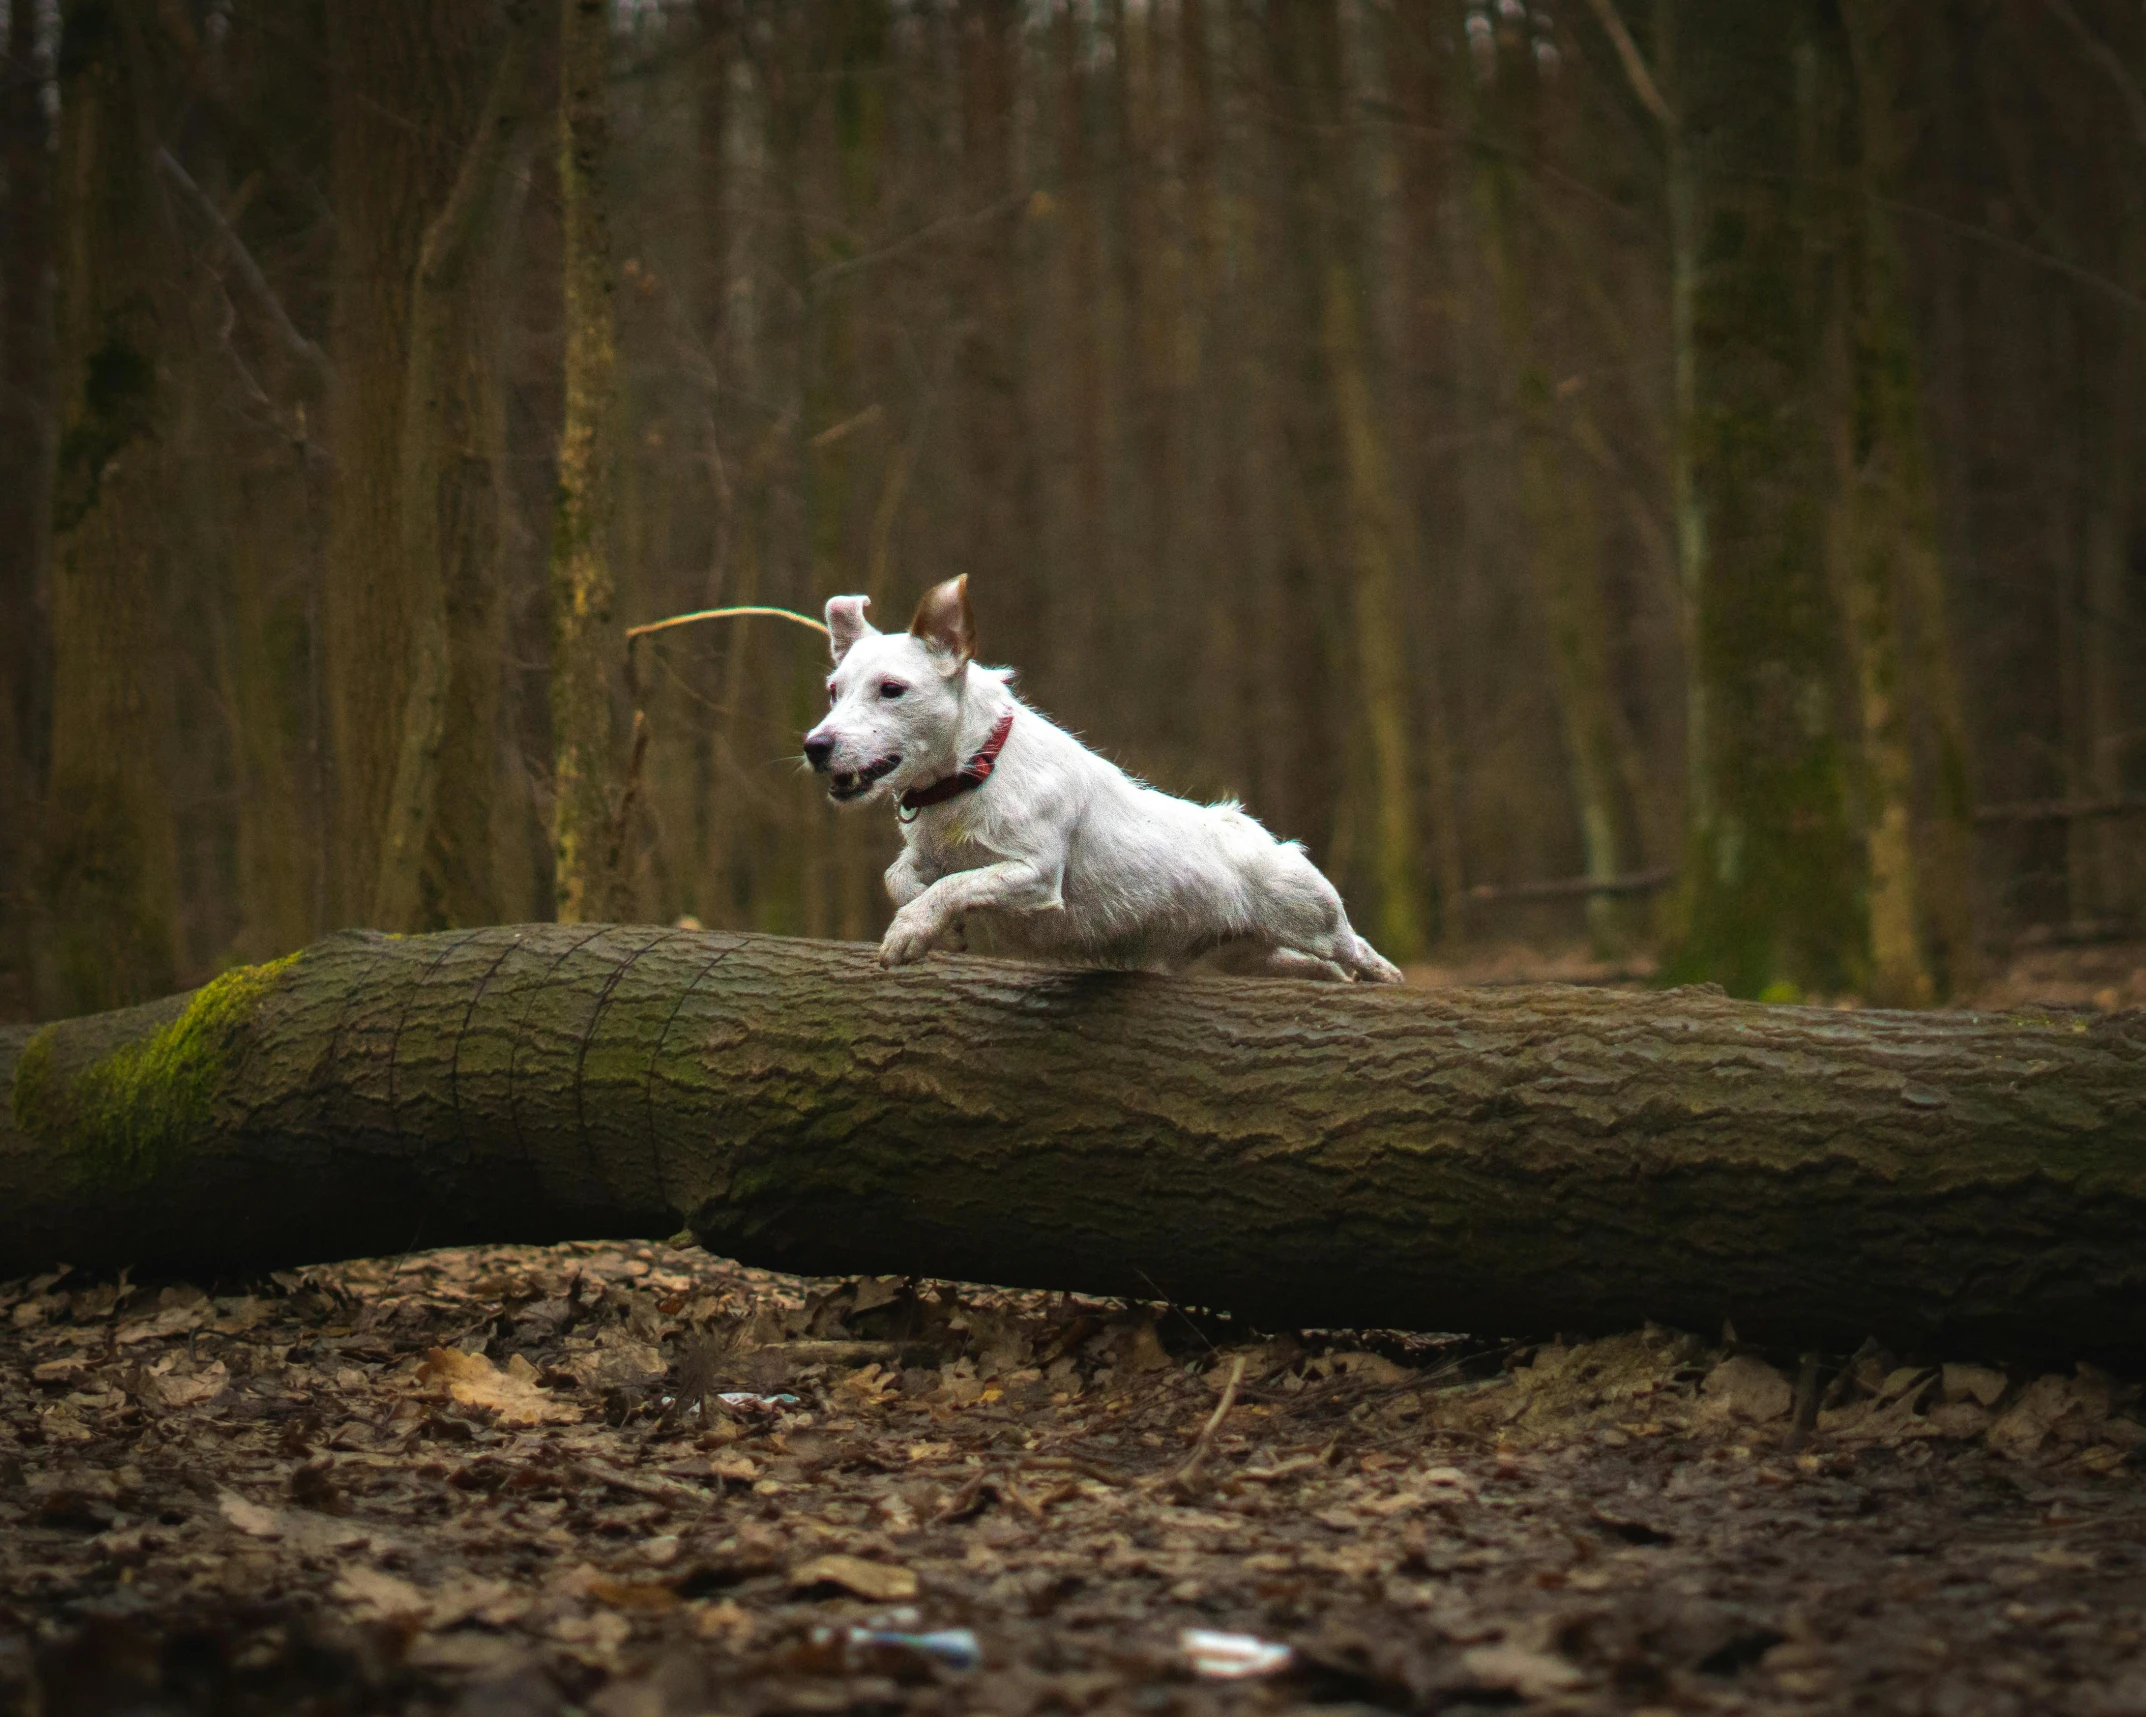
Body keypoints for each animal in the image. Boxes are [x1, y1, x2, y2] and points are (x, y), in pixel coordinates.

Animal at [806, 575, 1407, 978]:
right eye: (834, 691)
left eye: (892, 689)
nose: (816, 747)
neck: (975, 772)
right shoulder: (927, 855)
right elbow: (901, 877)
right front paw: (935, 925)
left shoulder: (1034, 872)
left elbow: (960, 883)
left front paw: (910, 930)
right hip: (1250, 955)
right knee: (1322, 970)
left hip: (1313, 918)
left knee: (1356, 950)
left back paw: (1383, 977)